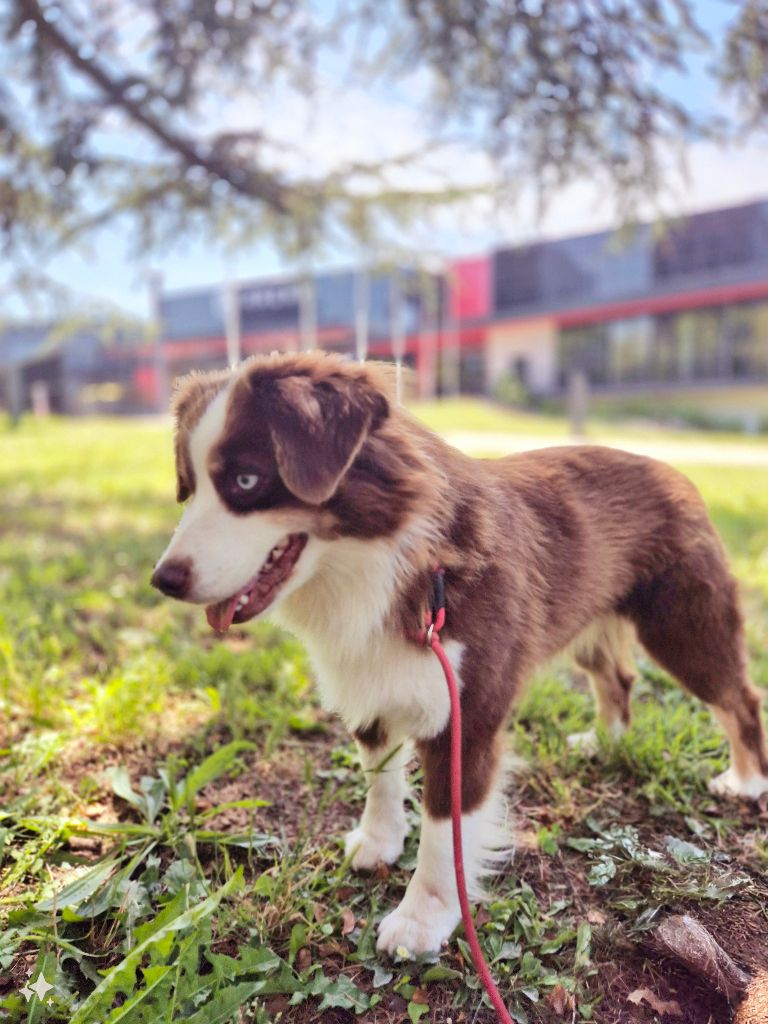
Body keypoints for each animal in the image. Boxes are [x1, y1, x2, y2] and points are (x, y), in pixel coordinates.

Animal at [151, 354, 768, 958]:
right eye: (187, 486)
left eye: (246, 480)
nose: (164, 581)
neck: (388, 563)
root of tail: (672, 468)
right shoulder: (371, 676)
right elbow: (380, 775)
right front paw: (378, 841)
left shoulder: (466, 713)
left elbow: (444, 830)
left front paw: (421, 922)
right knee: (616, 675)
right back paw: (605, 740)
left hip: (683, 623)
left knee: (736, 696)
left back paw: (745, 781)